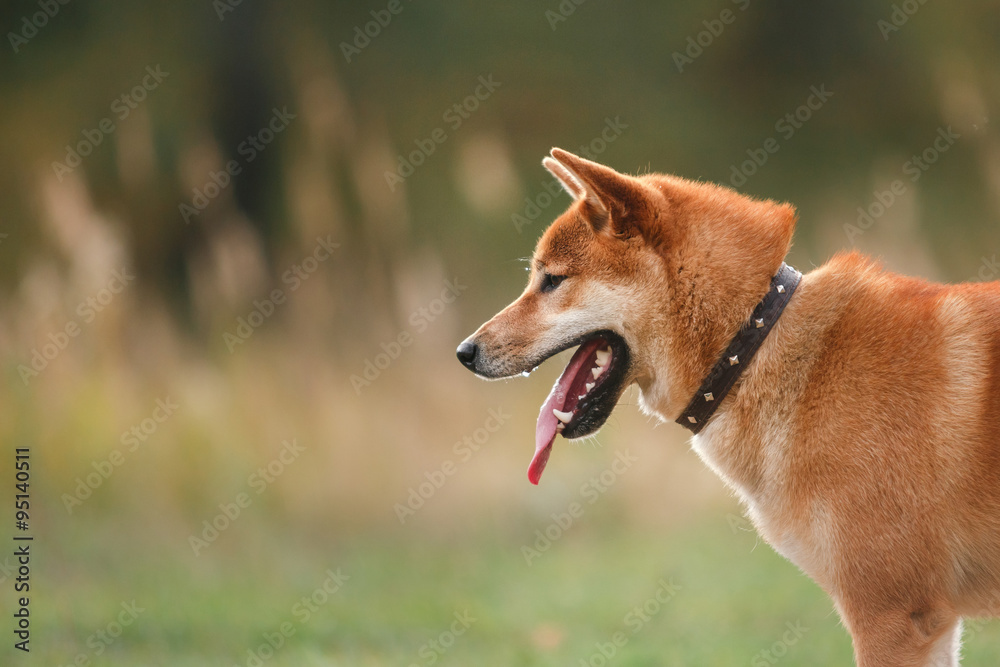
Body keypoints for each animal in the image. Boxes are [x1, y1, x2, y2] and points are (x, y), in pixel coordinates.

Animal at [458, 150, 1000, 667]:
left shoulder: (892, 616)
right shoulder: (923, 622)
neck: (758, 344)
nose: (464, 352)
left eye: (552, 281)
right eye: (536, 278)